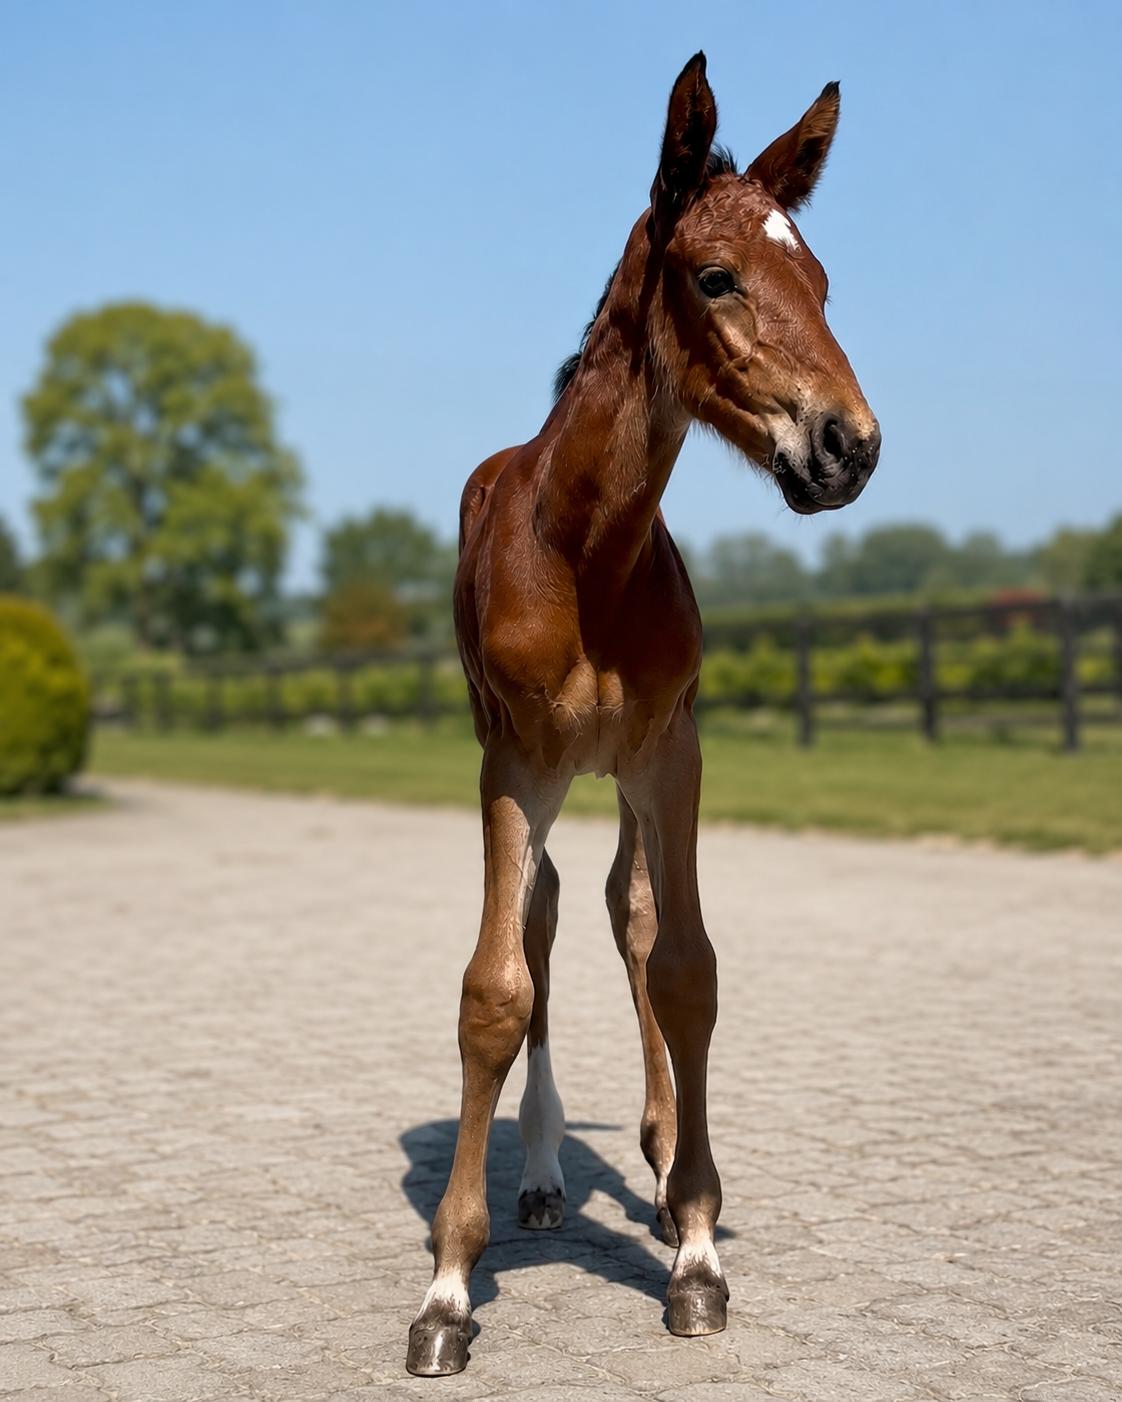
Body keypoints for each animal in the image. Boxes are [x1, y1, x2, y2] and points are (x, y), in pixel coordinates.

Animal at [406, 52, 880, 1376]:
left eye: (821, 282)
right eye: (714, 276)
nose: (849, 444)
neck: (586, 550)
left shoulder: (673, 752)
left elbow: (684, 964)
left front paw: (699, 1248)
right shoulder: (513, 764)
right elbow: (495, 989)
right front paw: (448, 1287)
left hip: (617, 771)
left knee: (625, 911)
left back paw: (662, 1166)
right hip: (545, 768)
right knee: (549, 918)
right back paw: (541, 1172)